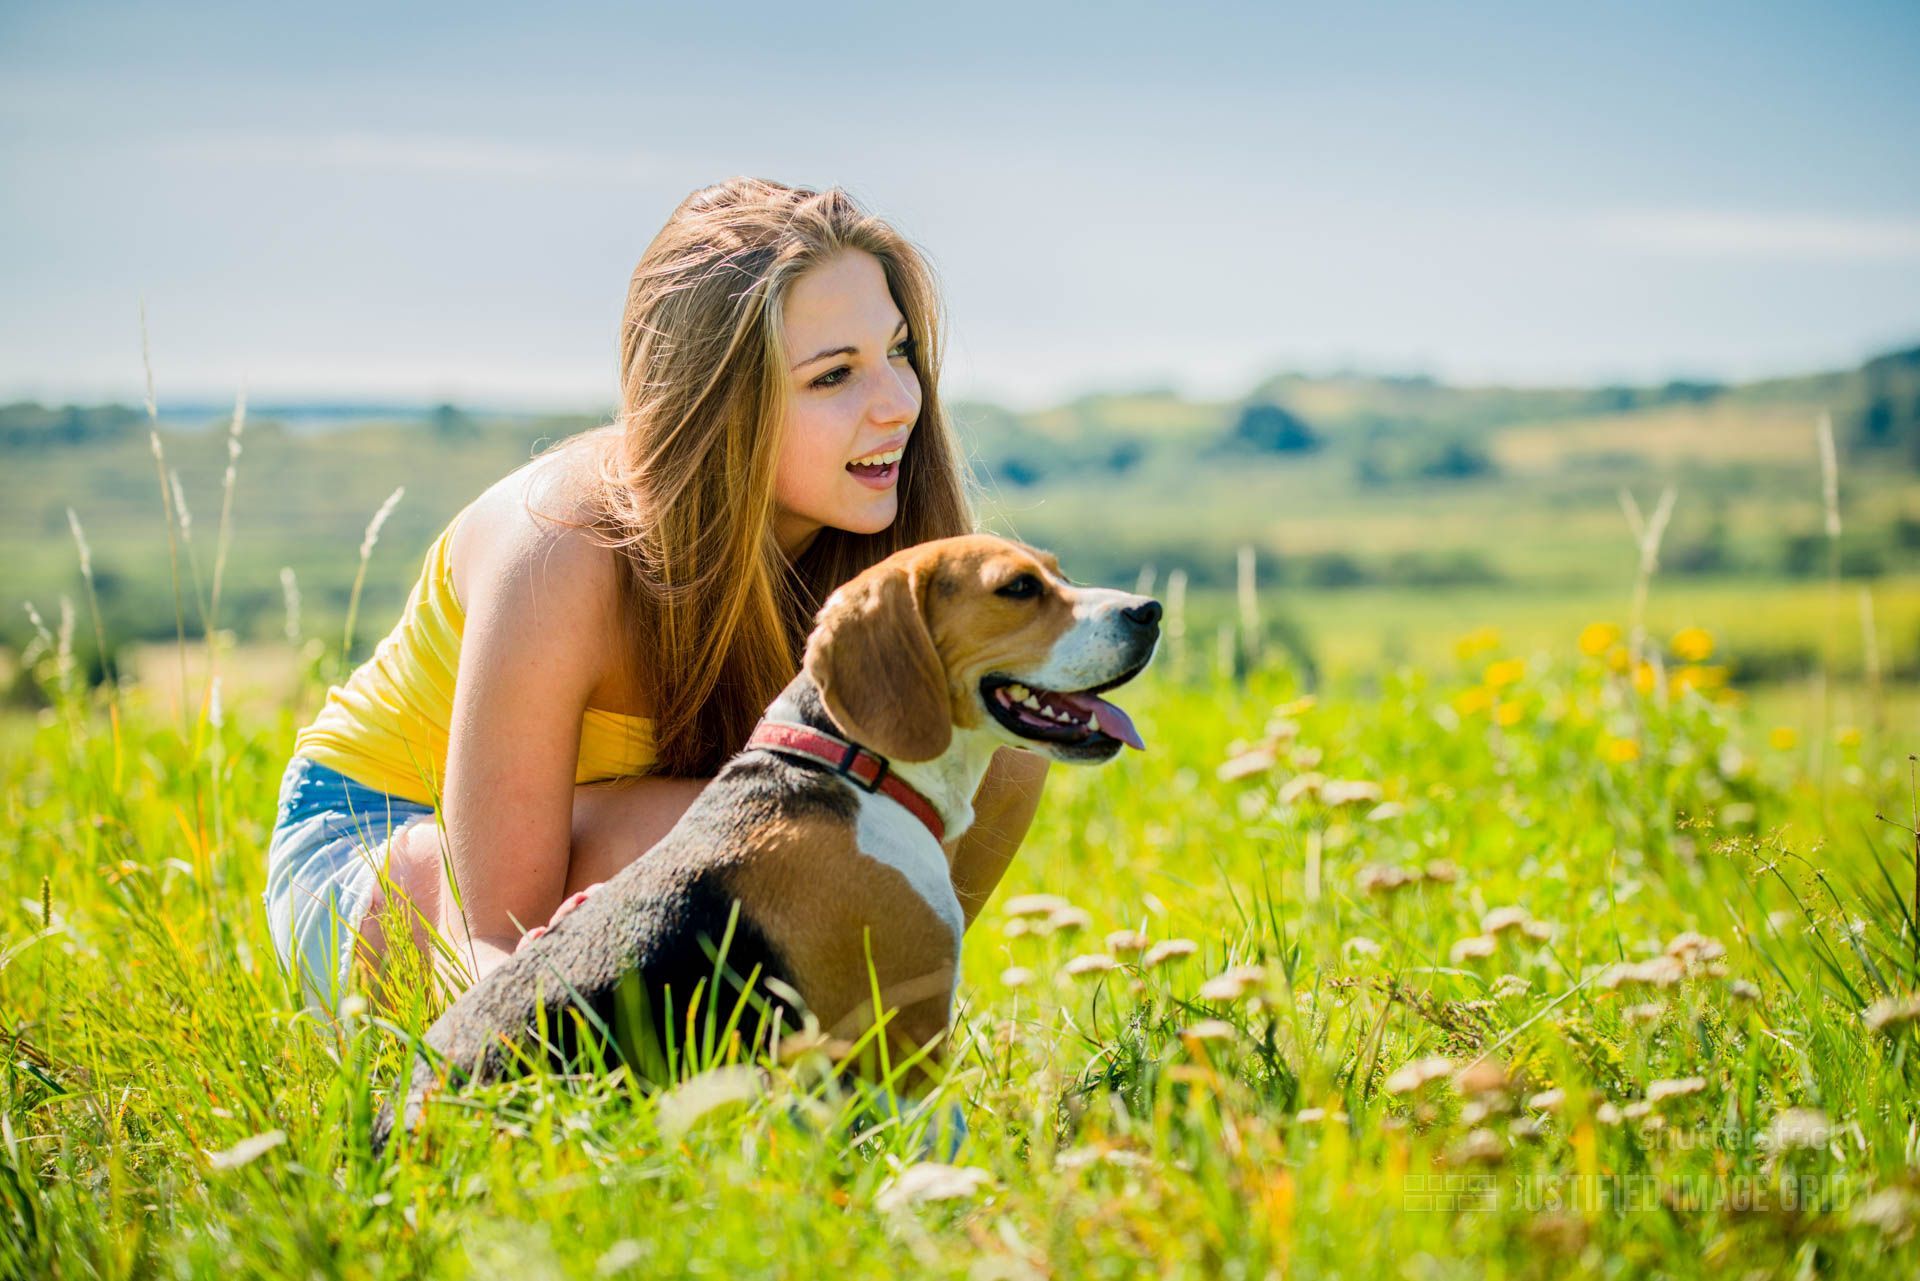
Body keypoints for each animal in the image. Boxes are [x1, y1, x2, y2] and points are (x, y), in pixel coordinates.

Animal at [370, 530, 1152, 1152]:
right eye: (1017, 589)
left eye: (1056, 572)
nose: (1149, 611)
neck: (855, 768)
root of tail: (390, 1131)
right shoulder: (905, 1035)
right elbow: (944, 1136)